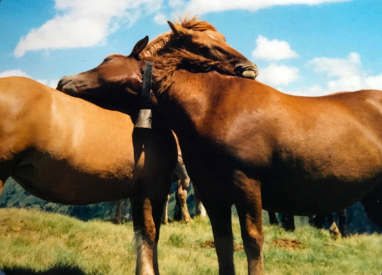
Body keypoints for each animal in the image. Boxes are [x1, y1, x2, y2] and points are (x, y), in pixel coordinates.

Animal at [57, 41, 382, 275]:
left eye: (107, 60)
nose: (63, 80)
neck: (212, 106)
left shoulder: (247, 183)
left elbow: (252, 241)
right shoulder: (212, 190)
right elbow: (223, 243)